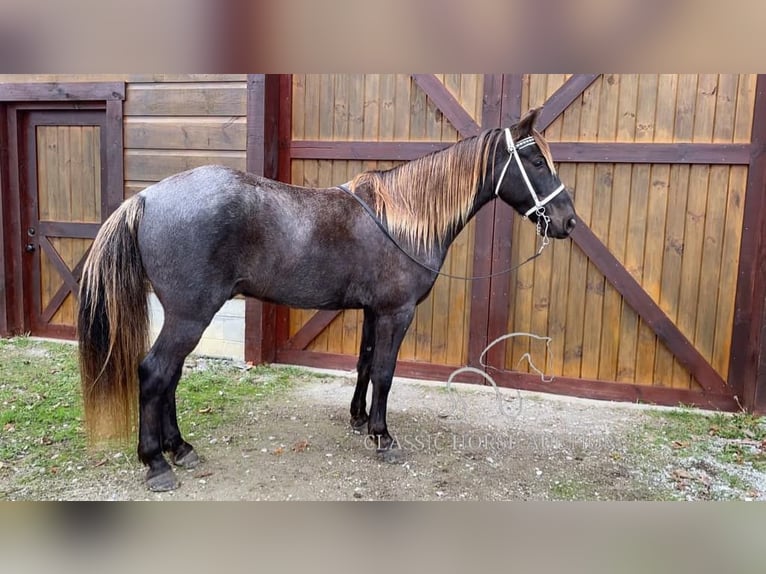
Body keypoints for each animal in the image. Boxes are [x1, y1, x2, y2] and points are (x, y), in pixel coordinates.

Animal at [79, 109, 576, 496]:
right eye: (534, 160)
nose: (568, 221)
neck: (401, 218)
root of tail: (146, 197)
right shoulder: (397, 312)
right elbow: (385, 373)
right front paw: (382, 437)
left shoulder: (374, 312)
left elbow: (365, 364)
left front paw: (359, 419)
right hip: (190, 315)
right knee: (155, 373)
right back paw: (156, 463)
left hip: (185, 316)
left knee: (170, 377)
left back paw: (180, 448)